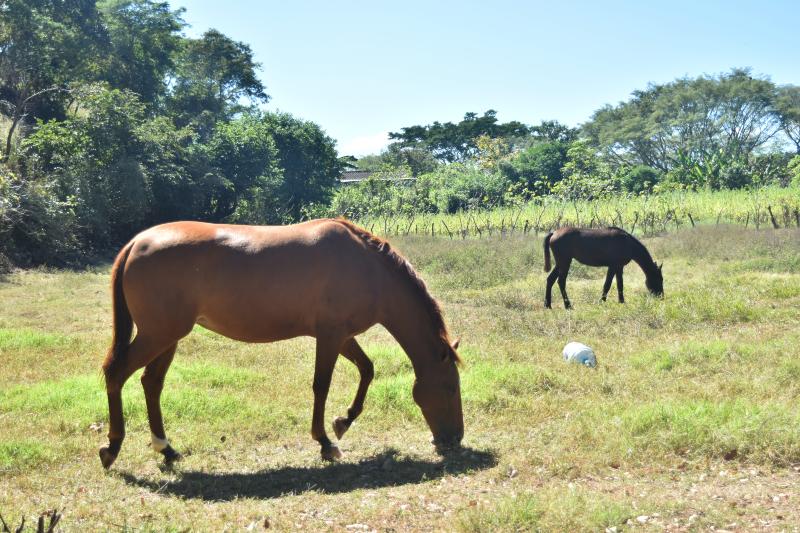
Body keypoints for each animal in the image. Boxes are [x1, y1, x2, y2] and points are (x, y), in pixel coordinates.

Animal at [99, 218, 462, 468]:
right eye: (450, 388)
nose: (455, 439)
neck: (367, 268)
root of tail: (136, 242)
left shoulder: (341, 335)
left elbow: (367, 370)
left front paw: (343, 422)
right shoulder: (330, 336)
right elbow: (321, 385)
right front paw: (326, 442)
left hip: (168, 338)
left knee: (151, 383)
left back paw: (166, 448)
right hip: (158, 335)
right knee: (116, 374)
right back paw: (112, 448)